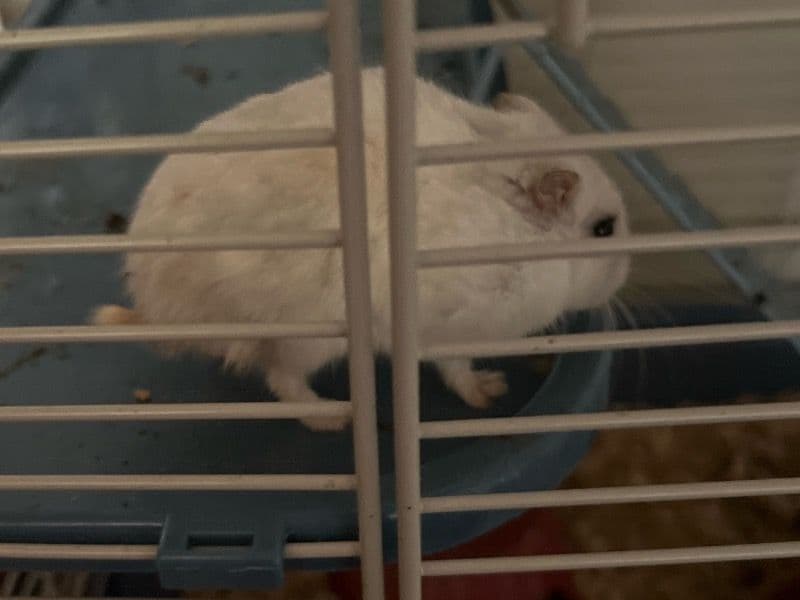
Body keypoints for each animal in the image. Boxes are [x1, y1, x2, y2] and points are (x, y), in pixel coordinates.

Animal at [92, 67, 630, 431]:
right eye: (604, 229)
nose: (627, 270)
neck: (516, 232)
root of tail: (158, 311)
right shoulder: (449, 328)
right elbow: (456, 367)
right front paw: (491, 392)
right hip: (308, 339)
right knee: (282, 381)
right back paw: (335, 418)